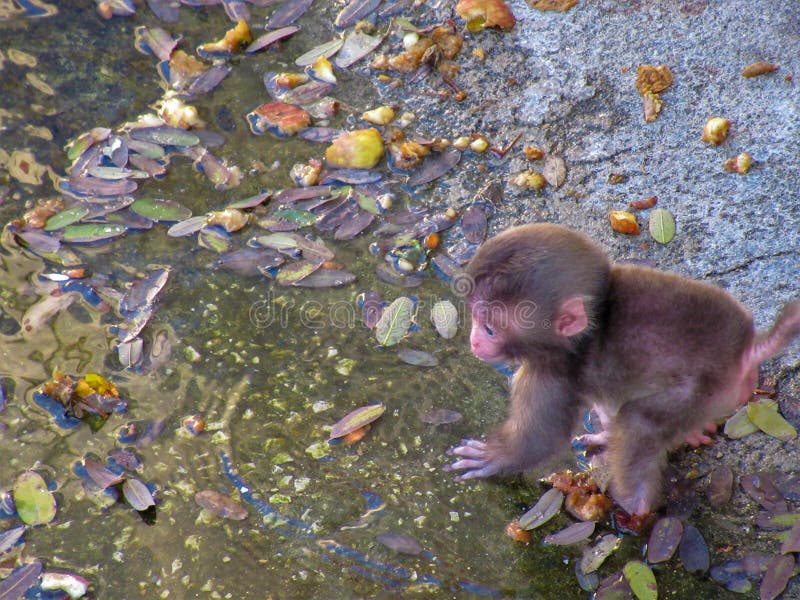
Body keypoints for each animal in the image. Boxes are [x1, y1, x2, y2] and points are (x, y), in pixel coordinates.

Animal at [450, 223, 800, 512]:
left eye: (490, 329)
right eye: (476, 319)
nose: (474, 343)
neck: (589, 329)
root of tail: (744, 351)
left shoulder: (555, 374)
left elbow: (539, 438)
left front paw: (496, 456)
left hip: (700, 391)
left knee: (639, 421)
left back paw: (633, 505)